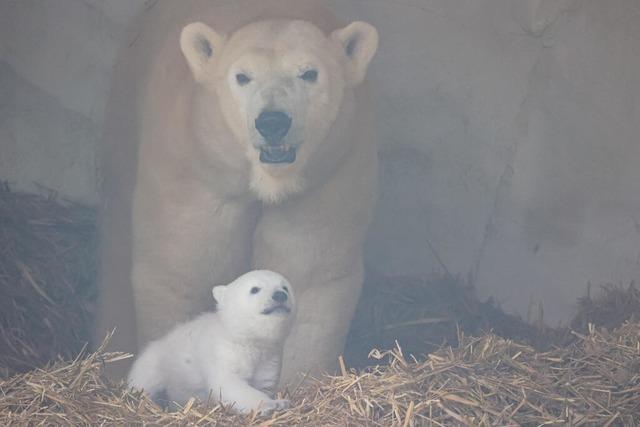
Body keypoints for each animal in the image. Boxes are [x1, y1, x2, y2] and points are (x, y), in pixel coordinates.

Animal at [97, 0, 378, 384]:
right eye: (242, 76)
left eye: (309, 73)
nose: (272, 121)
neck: (270, 182)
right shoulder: (196, 168)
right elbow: (181, 267)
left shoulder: (327, 174)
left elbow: (308, 272)